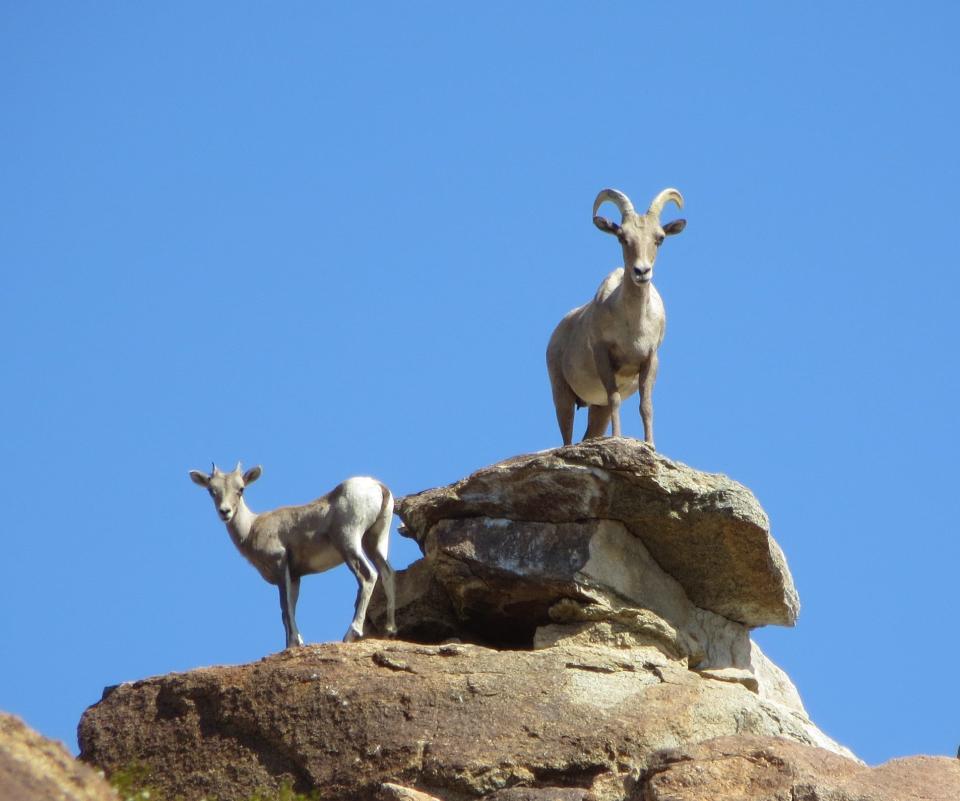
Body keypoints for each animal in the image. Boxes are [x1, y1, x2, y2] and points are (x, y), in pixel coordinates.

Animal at [188, 466, 398, 648]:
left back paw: (351, 634)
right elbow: (290, 609)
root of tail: (378, 487)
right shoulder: (295, 576)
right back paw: (390, 630)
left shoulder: (280, 566)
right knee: (387, 573)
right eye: (211, 490)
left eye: (241, 489)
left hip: (349, 542)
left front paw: (294, 643)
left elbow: (285, 608)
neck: (251, 529)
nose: (225, 512)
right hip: (375, 542)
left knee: (368, 576)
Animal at [544, 188, 688, 450]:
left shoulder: (649, 360)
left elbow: (646, 406)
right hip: (561, 393)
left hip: (595, 408)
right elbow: (615, 399)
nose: (641, 272)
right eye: (622, 237)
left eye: (660, 238)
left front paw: (650, 444)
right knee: (567, 433)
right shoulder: (604, 356)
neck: (633, 328)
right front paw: (618, 437)